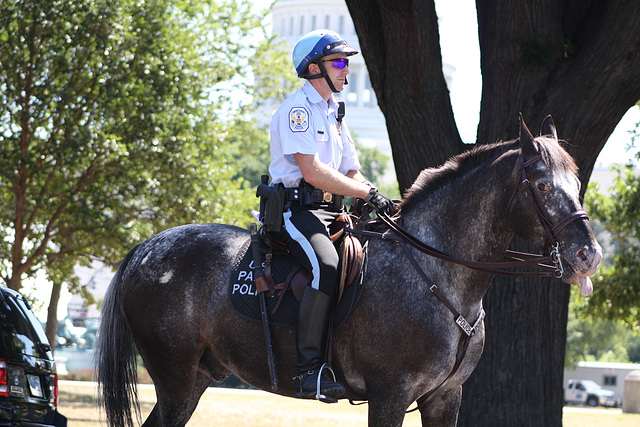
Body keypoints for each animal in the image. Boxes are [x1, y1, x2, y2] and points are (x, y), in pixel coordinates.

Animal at [95, 115, 600, 426]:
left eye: (577, 182)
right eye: (541, 185)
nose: (588, 255)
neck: (438, 275)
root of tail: (146, 247)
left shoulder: (444, 398)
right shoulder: (390, 395)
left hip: (195, 380)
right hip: (176, 380)